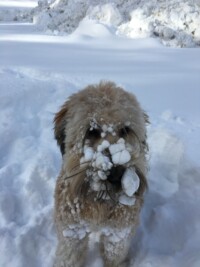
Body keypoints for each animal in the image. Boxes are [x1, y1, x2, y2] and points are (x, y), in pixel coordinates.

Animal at [53, 81, 148, 267]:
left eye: (125, 129)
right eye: (92, 130)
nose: (116, 174)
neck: (98, 201)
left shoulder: (118, 234)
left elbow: (114, 255)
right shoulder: (72, 231)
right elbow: (69, 255)